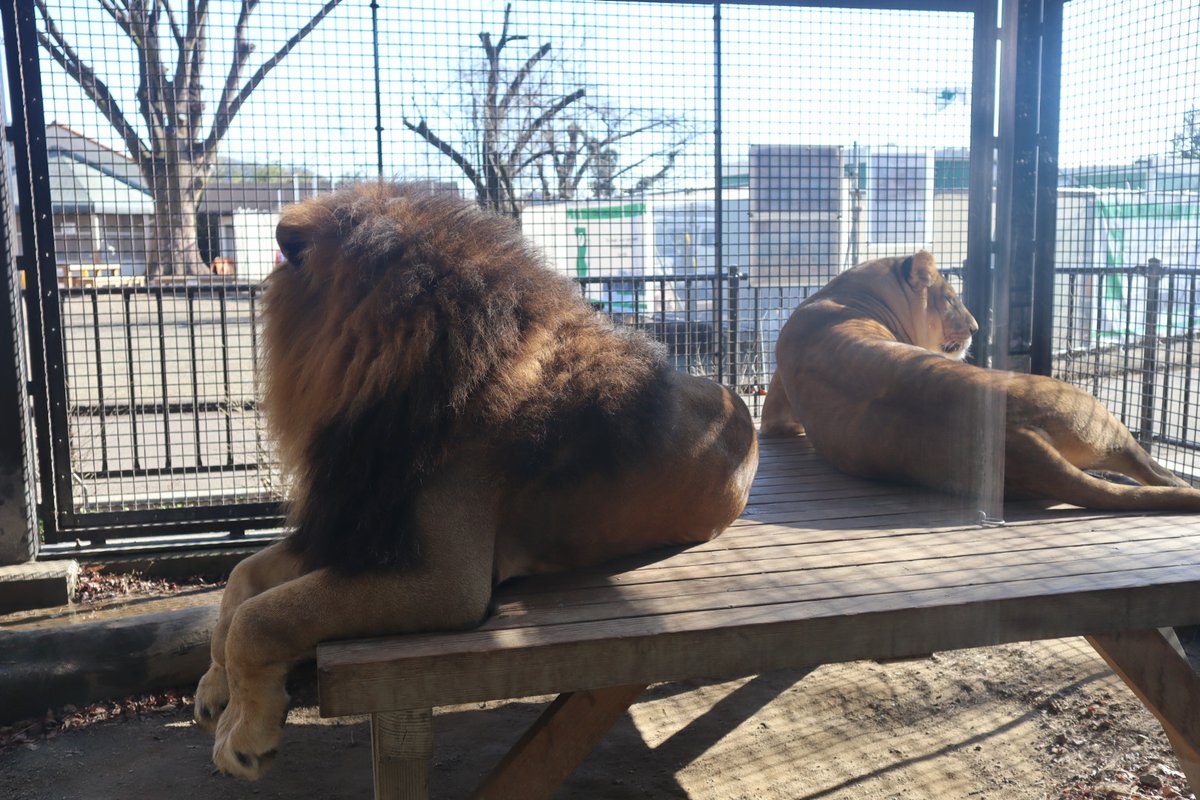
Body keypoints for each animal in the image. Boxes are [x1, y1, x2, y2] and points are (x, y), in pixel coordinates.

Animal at [196, 181, 758, 777]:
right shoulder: (359, 524)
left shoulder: (447, 583)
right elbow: (240, 584)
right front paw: (214, 692)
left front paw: (243, 736)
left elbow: (259, 618)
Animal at [758, 251, 1200, 513]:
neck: (844, 296)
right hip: (1097, 416)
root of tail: (1013, 436)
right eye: (951, 299)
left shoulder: (777, 418)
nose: (975, 327)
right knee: (1155, 472)